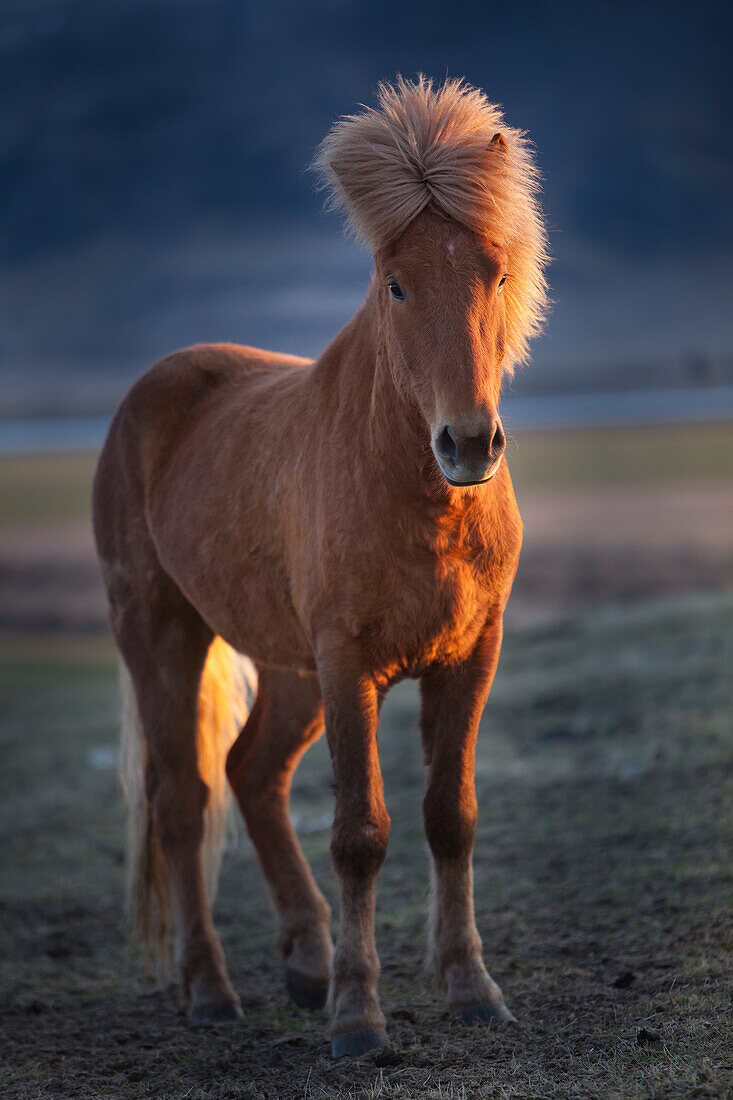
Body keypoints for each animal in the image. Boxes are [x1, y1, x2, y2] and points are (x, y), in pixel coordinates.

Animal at [93, 77, 548, 1056]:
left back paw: (303, 958)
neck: (421, 501)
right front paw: (359, 1017)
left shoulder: (469, 657)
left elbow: (450, 817)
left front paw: (470, 988)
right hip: (164, 637)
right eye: (396, 283)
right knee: (184, 799)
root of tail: (154, 389)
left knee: (252, 775)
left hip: (287, 669)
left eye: (494, 272)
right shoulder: (349, 666)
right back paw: (211, 989)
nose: (467, 444)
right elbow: (359, 833)